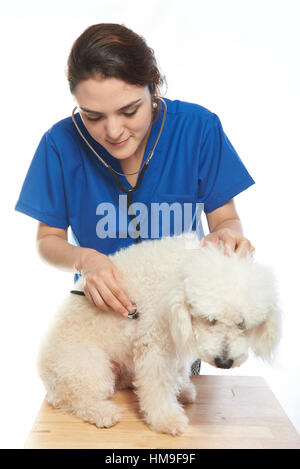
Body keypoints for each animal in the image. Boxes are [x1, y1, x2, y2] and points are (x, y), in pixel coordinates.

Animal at [37, 234, 282, 436]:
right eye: (210, 319)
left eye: (243, 324)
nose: (224, 362)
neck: (179, 279)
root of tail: (46, 374)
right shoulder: (155, 345)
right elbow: (158, 386)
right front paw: (167, 419)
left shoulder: (176, 343)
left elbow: (178, 372)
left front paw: (182, 389)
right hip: (88, 367)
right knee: (72, 399)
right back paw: (102, 412)